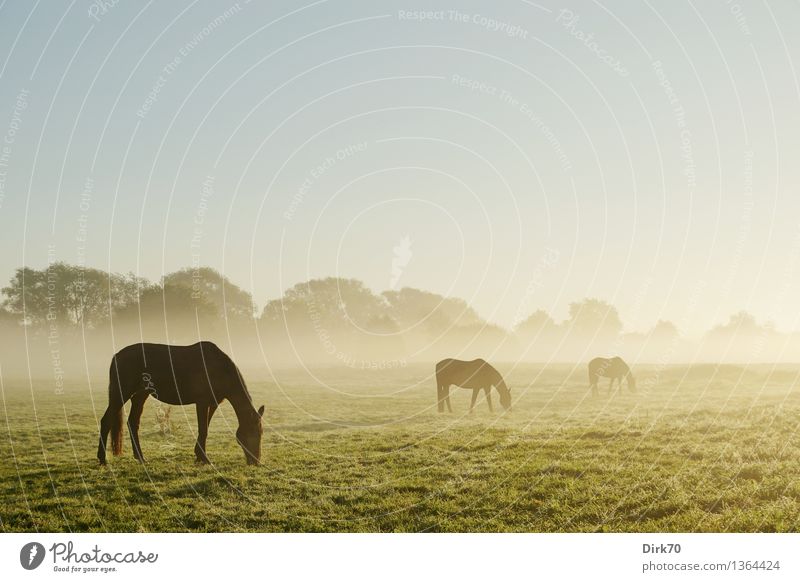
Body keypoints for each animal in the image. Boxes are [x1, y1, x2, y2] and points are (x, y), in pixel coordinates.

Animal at [97, 344, 266, 468]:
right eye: (252, 433)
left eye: (260, 433)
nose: (255, 462)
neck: (219, 369)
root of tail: (117, 355)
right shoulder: (202, 402)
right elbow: (203, 430)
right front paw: (204, 459)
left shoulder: (213, 403)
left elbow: (205, 428)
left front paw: (199, 456)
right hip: (121, 393)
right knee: (106, 421)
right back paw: (103, 459)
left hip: (140, 395)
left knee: (132, 423)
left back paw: (140, 457)